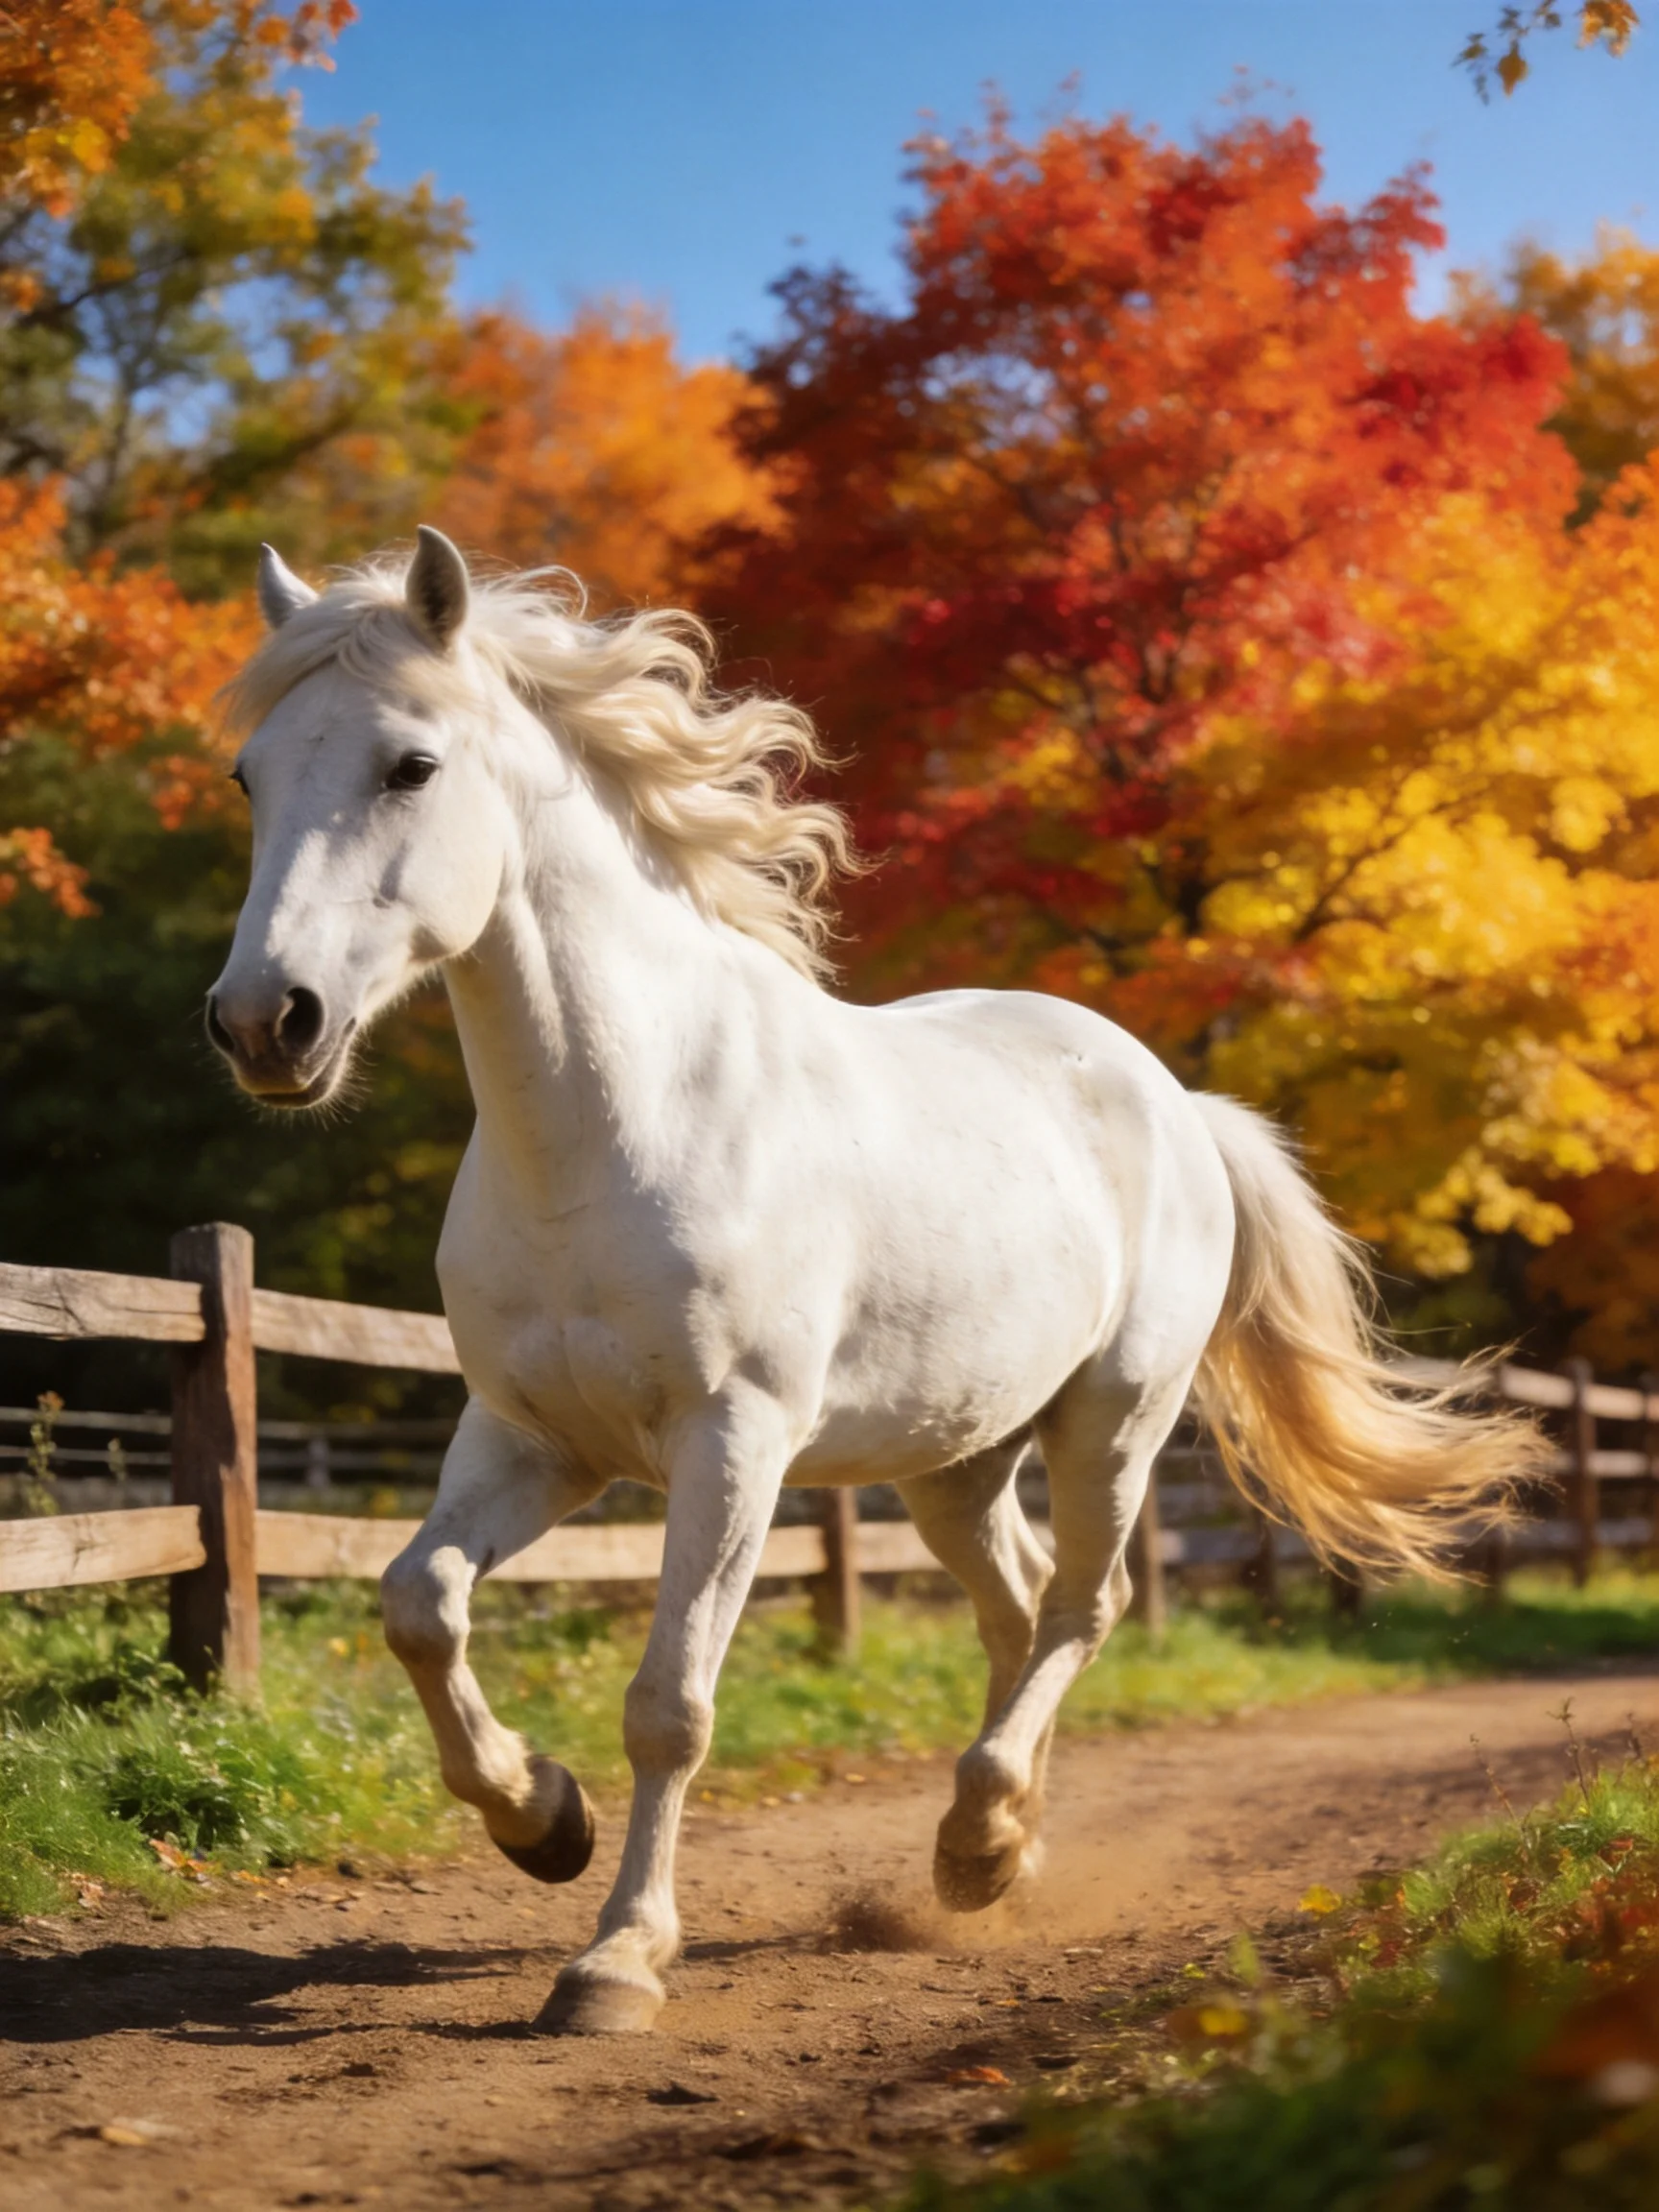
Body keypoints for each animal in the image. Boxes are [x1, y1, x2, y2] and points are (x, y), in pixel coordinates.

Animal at [205, 526, 1539, 2035]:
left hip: (1114, 1423)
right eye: (250, 775)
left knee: (1083, 1607)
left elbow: (670, 1704)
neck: (616, 1129)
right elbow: (417, 1604)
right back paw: (994, 1850)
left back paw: (981, 1839)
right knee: (1017, 1606)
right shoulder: (536, 1439)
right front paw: (540, 1820)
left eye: (410, 765)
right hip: (955, 1458)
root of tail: (1176, 1099)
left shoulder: (733, 1446)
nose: (264, 1022)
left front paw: (617, 1961)